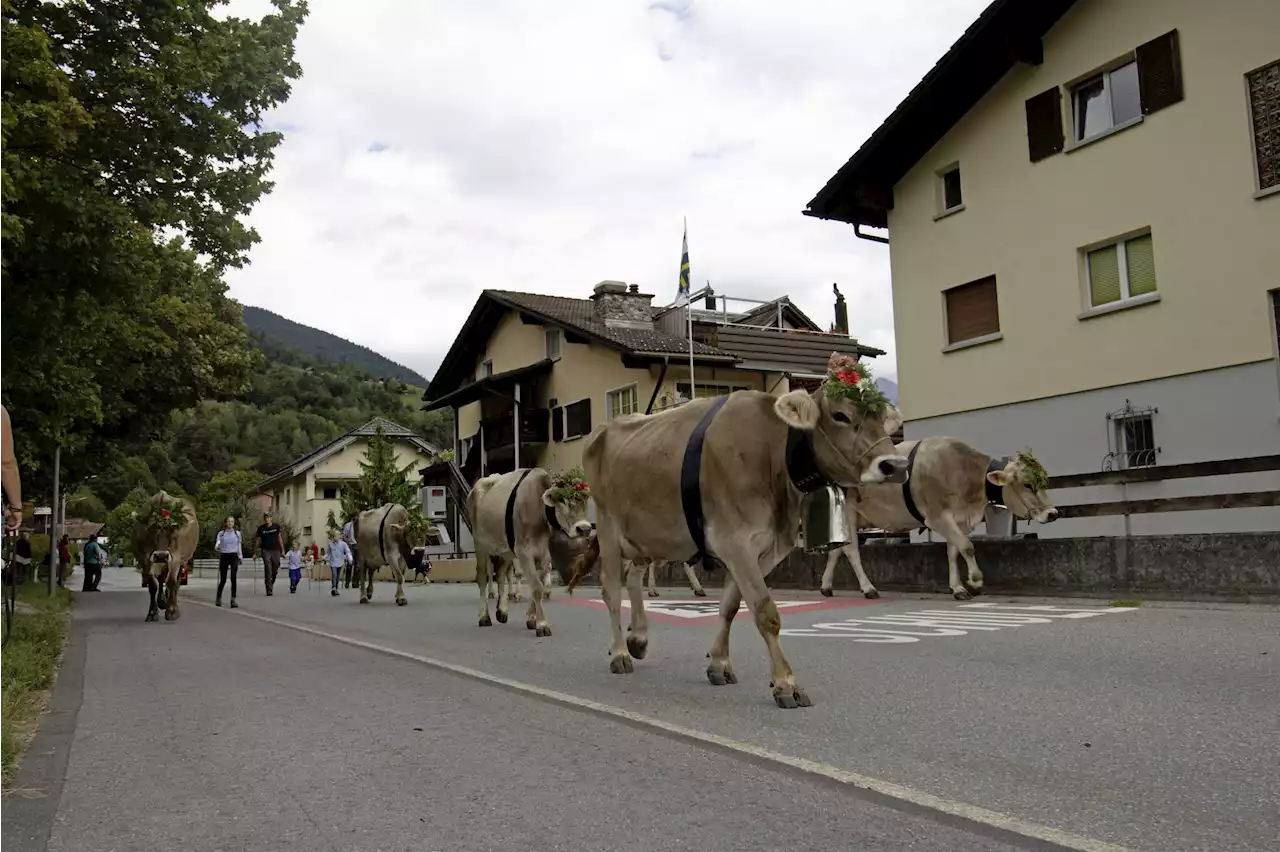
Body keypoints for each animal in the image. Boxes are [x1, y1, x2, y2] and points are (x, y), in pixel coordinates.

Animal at [586, 363, 906, 701]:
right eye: (840, 415)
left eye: (882, 418)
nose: (896, 465)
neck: (771, 451)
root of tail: (605, 428)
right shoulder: (735, 541)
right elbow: (766, 612)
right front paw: (786, 683)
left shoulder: (768, 548)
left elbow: (730, 606)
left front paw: (719, 664)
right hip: (608, 527)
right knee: (611, 589)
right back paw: (620, 653)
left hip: (648, 537)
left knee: (633, 578)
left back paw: (638, 640)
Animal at [819, 437, 1059, 596]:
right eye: (1027, 484)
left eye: (1044, 480)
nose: (1053, 513)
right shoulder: (936, 516)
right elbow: (967, 547)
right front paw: (975, 580)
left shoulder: (958, 518)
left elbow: (954, 551)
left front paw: (958, 587)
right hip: (848, 513)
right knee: (851, 550)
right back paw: (868, 588)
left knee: (837, 550)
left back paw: (826, 586)